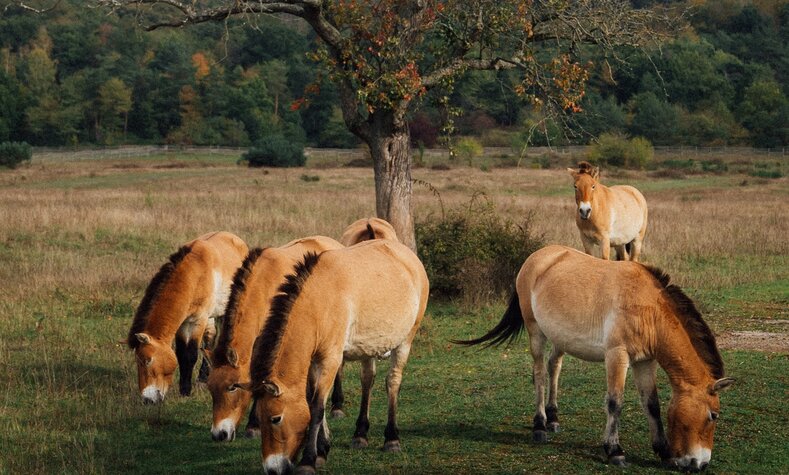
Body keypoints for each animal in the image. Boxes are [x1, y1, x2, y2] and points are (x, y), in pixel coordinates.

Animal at [127, 232, 248, 404]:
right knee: (210, 339)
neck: (194, 275)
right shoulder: (183, 323)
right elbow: (181, 354)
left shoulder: (197, 321)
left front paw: (185, 391)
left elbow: (190, 354)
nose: (147, 400)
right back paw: (203, 378)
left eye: (147, 360)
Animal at [205, 237, 344, 442]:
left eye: (232, 387)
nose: (218, 434)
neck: (262, 287)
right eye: (210, 388)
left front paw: (253, 425)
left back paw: (338, 407)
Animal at [240, 242, 428, 475]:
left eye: (276, 419)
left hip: (405, 341)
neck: (318, 301)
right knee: (368, 380)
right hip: (369, 347)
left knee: (392, 381)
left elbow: (317, 407)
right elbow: (312, 400)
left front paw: (308, 460)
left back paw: (392, 439)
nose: (272, 469)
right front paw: (322, 450)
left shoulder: (330, 360)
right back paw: (360, 435)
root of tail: (408, 255)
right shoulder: (313, 361)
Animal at [456, 245, 732, 472]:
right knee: (539, 375)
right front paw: (614, 451)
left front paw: (663, 452)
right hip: (536, 332)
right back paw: (540, 426)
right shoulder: (617, 355)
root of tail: (536, 257)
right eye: (713, 415)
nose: (701, 464)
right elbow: (615, 403)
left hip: (560, 338)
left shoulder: (645, 362)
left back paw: (553, 418)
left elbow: (651, 404)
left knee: (554, 367)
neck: (648, 309)